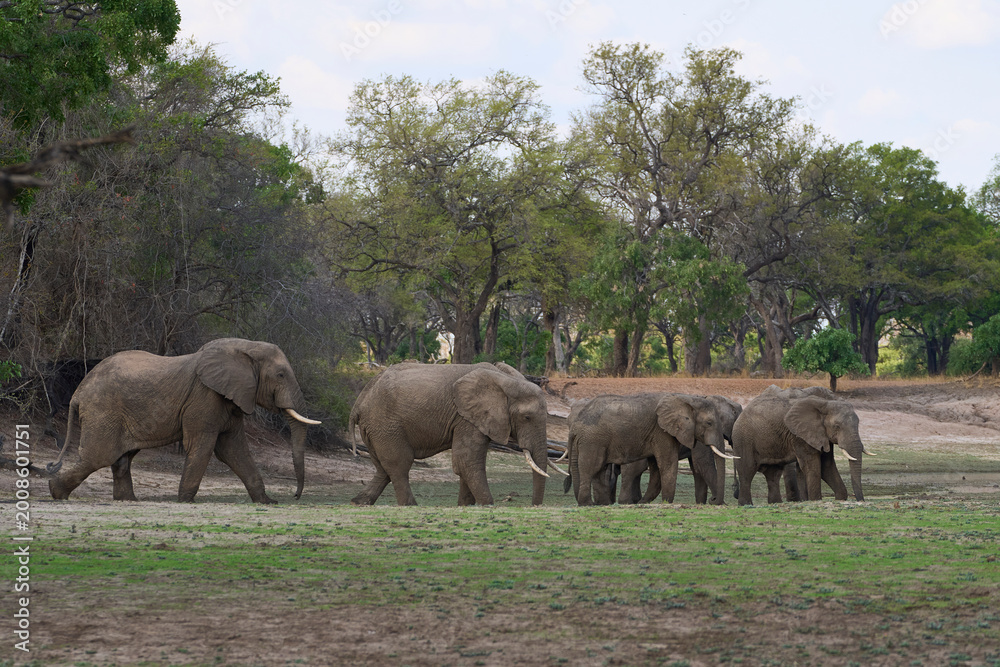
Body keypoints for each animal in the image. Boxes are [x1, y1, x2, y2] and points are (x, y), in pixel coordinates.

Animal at [47, 338, 319, 503]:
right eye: (281, 375)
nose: (295, 496)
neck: (246, 347)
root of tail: (79, 391)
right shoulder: (205, 397)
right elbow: (204, 445)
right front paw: (186, 500)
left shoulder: (231, 399)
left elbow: (233, 449)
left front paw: (267, 502)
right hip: (103, 410)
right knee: (98, 456)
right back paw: (55, 492)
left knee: (121, 459)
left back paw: (128, 501)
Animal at [349, 362, 560, 506]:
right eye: (527, 417)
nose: (534, 506)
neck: (505, 380)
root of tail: (358, 402)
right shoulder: (465, 417)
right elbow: (467, 461)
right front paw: (487, 504)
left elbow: (465, 463)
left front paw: (465, 506)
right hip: (385, 425)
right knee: (400, 464)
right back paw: (410, 506)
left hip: (375, 429)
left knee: (383, 468)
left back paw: (358, 502)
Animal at [565, 393, 728, 506]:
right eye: (709, 423)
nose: (713, 500)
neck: (685, 398)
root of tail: (575, 427)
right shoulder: (661, 431)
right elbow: (667, 463)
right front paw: (667, 502)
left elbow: (656, 467)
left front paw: (645, 502)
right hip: (592, 440)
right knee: (591, 468)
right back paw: (588, 504)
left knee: (599, 470)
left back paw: (602, 504)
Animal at [732, 385, 868, 505]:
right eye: (837, 426)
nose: (861, 500)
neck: (825, 404)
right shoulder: (799, 436)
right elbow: (812, 466)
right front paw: (815, 500)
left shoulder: (821, 436)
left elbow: (826, 466)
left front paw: (840, 498)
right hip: (743, 438)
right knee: (747, 470)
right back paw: (745, 504)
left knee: (773, 473)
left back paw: (775, 503)